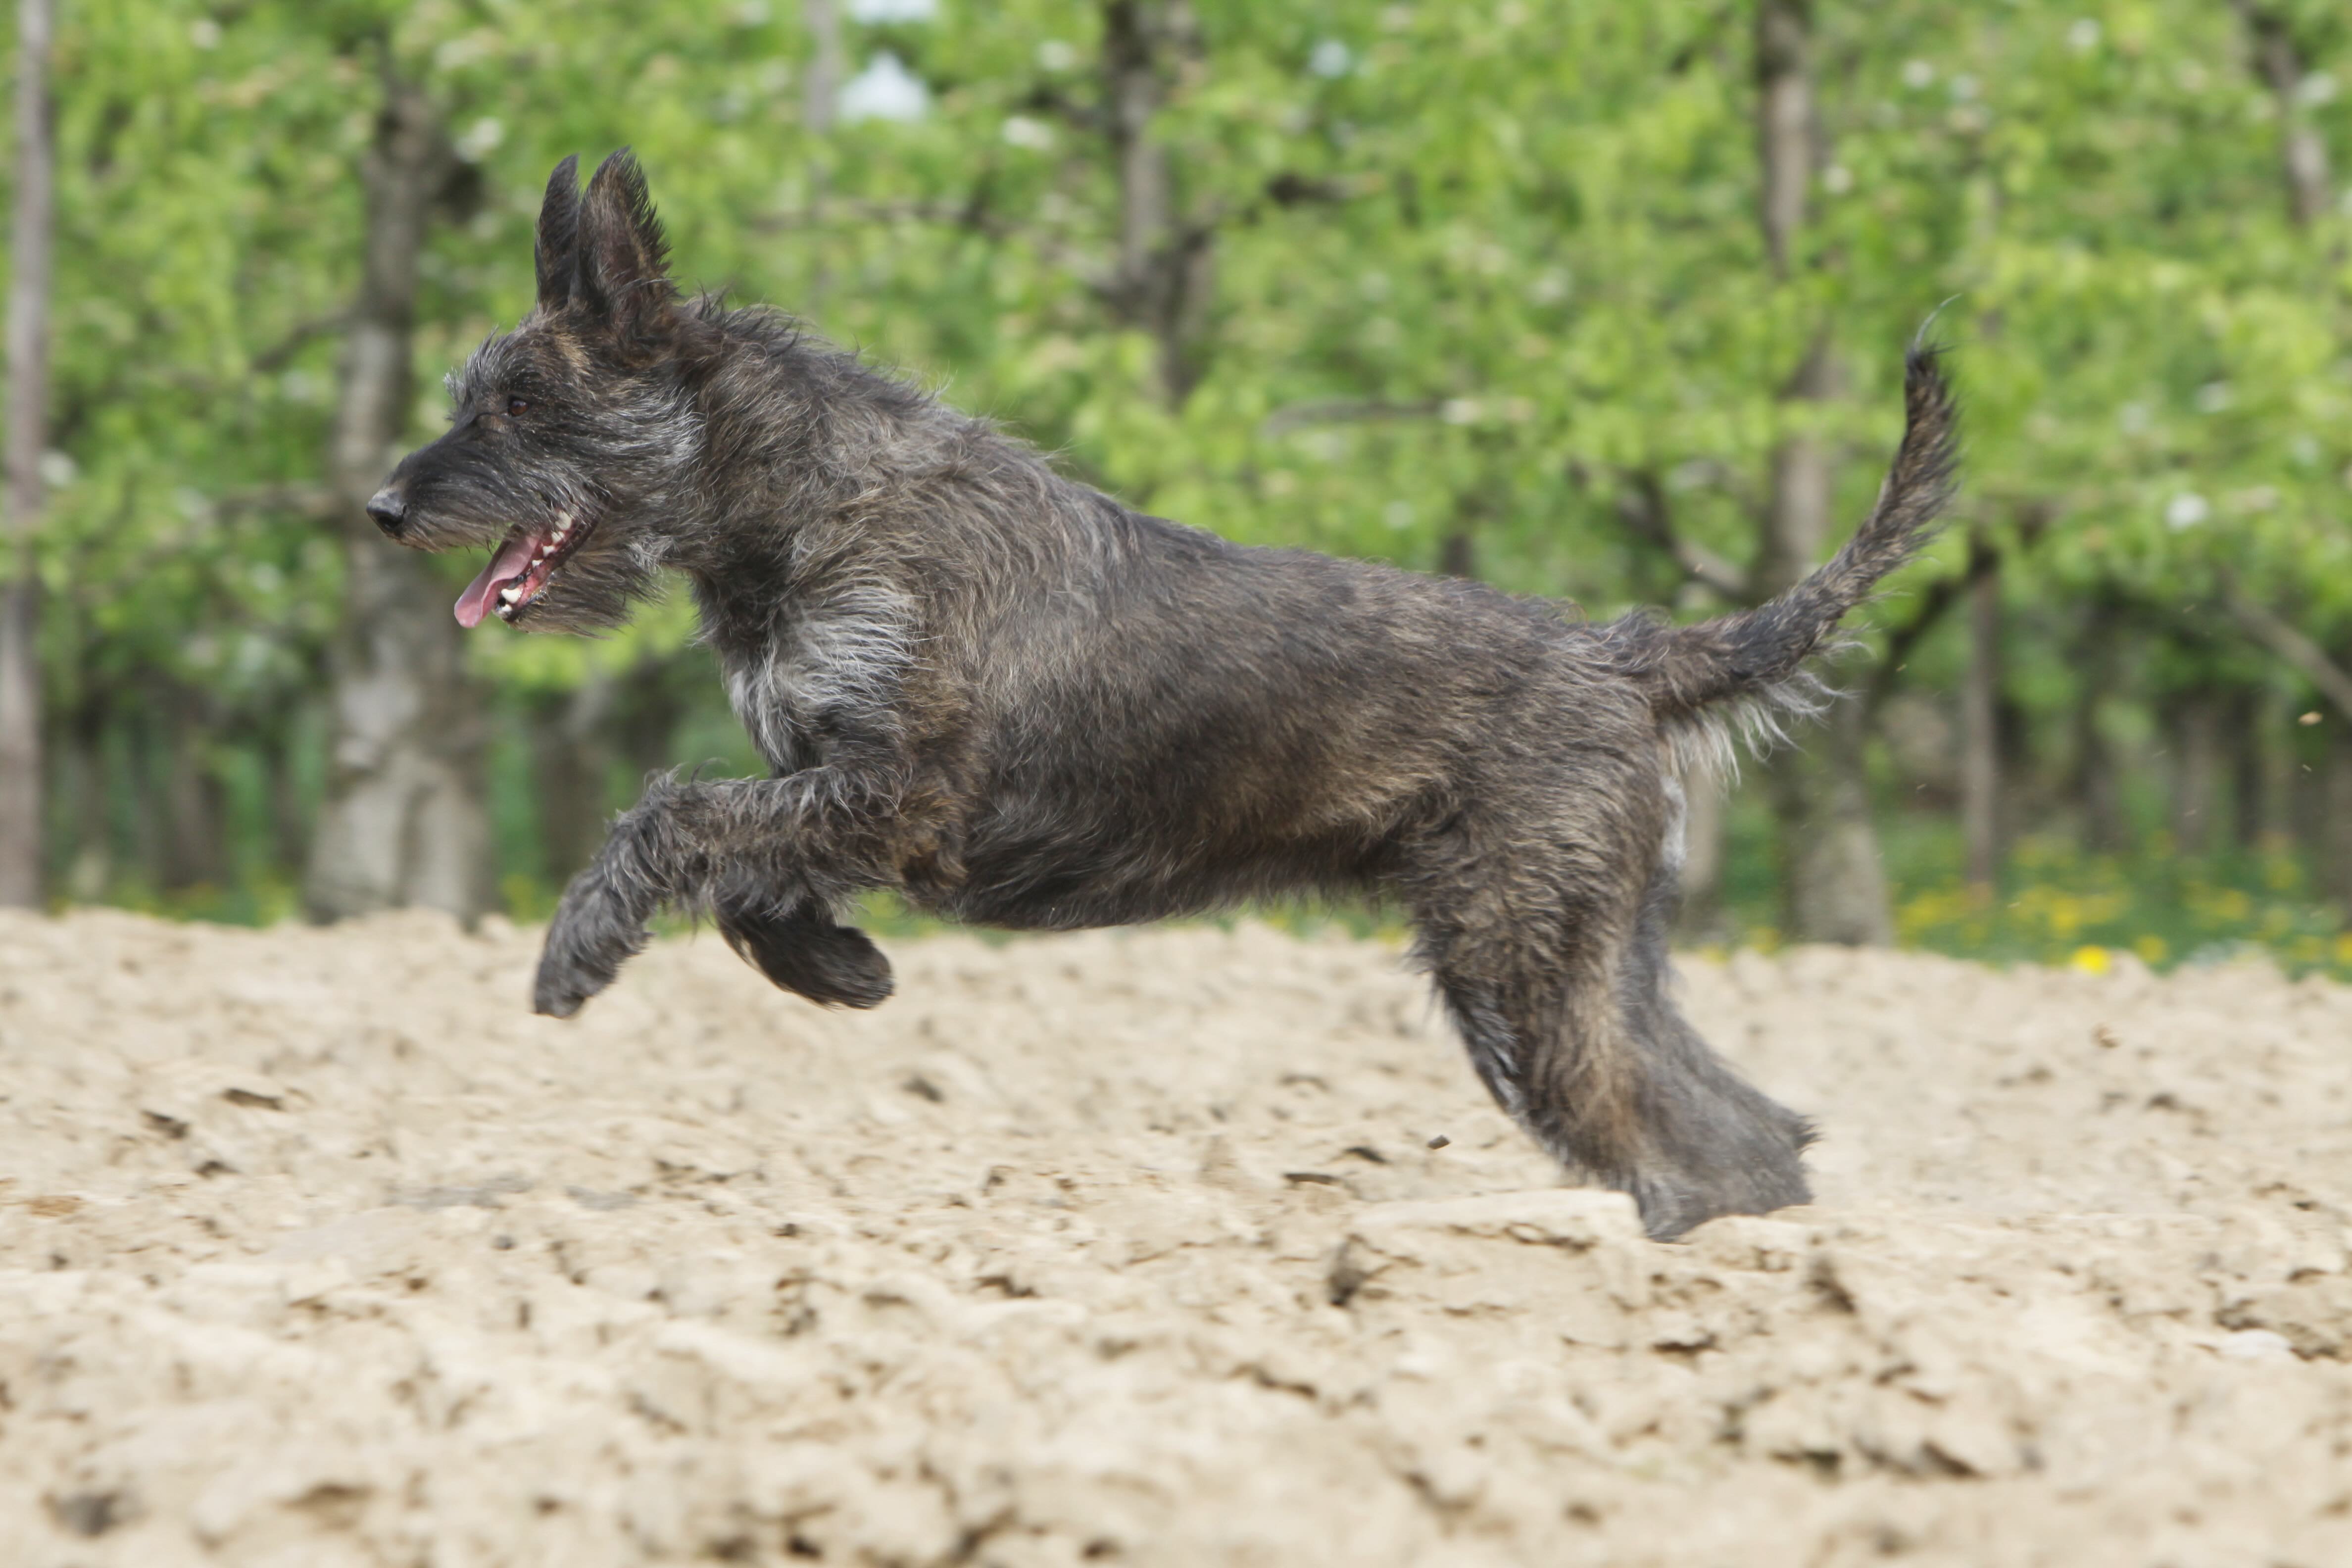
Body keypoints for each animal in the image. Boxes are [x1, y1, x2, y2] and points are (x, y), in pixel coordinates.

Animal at [362, 152, 1947, 1241]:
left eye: (520, 405)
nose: (381, 507)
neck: (802, 514)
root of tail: (1626, 656)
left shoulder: (904, 793)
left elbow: (674, 813)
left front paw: (581, 948)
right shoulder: (837, 785)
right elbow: (743, 865)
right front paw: (842, 969)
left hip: (1522, 961)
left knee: (1670, 1128)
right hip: (1582, 954)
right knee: (1743, 1124)